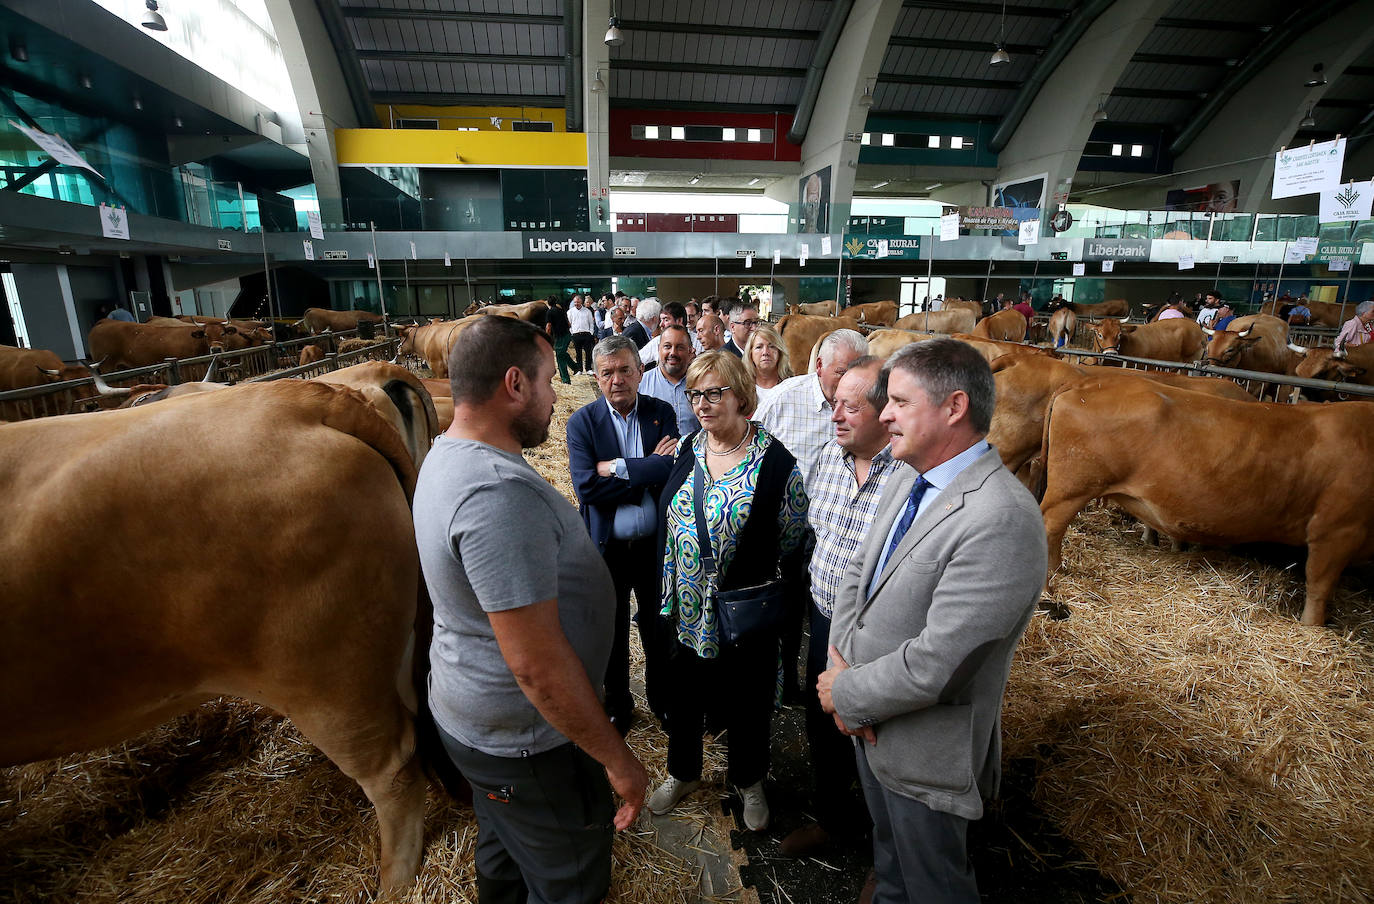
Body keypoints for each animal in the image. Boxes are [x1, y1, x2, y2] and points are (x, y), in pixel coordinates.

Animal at [1038, 376, 1374, 623]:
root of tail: (1085, 385)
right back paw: (1052, 576)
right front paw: (1312, 627)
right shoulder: (1336, 529)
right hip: (1071, 489)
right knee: (1051, 527)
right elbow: (1319, 584)